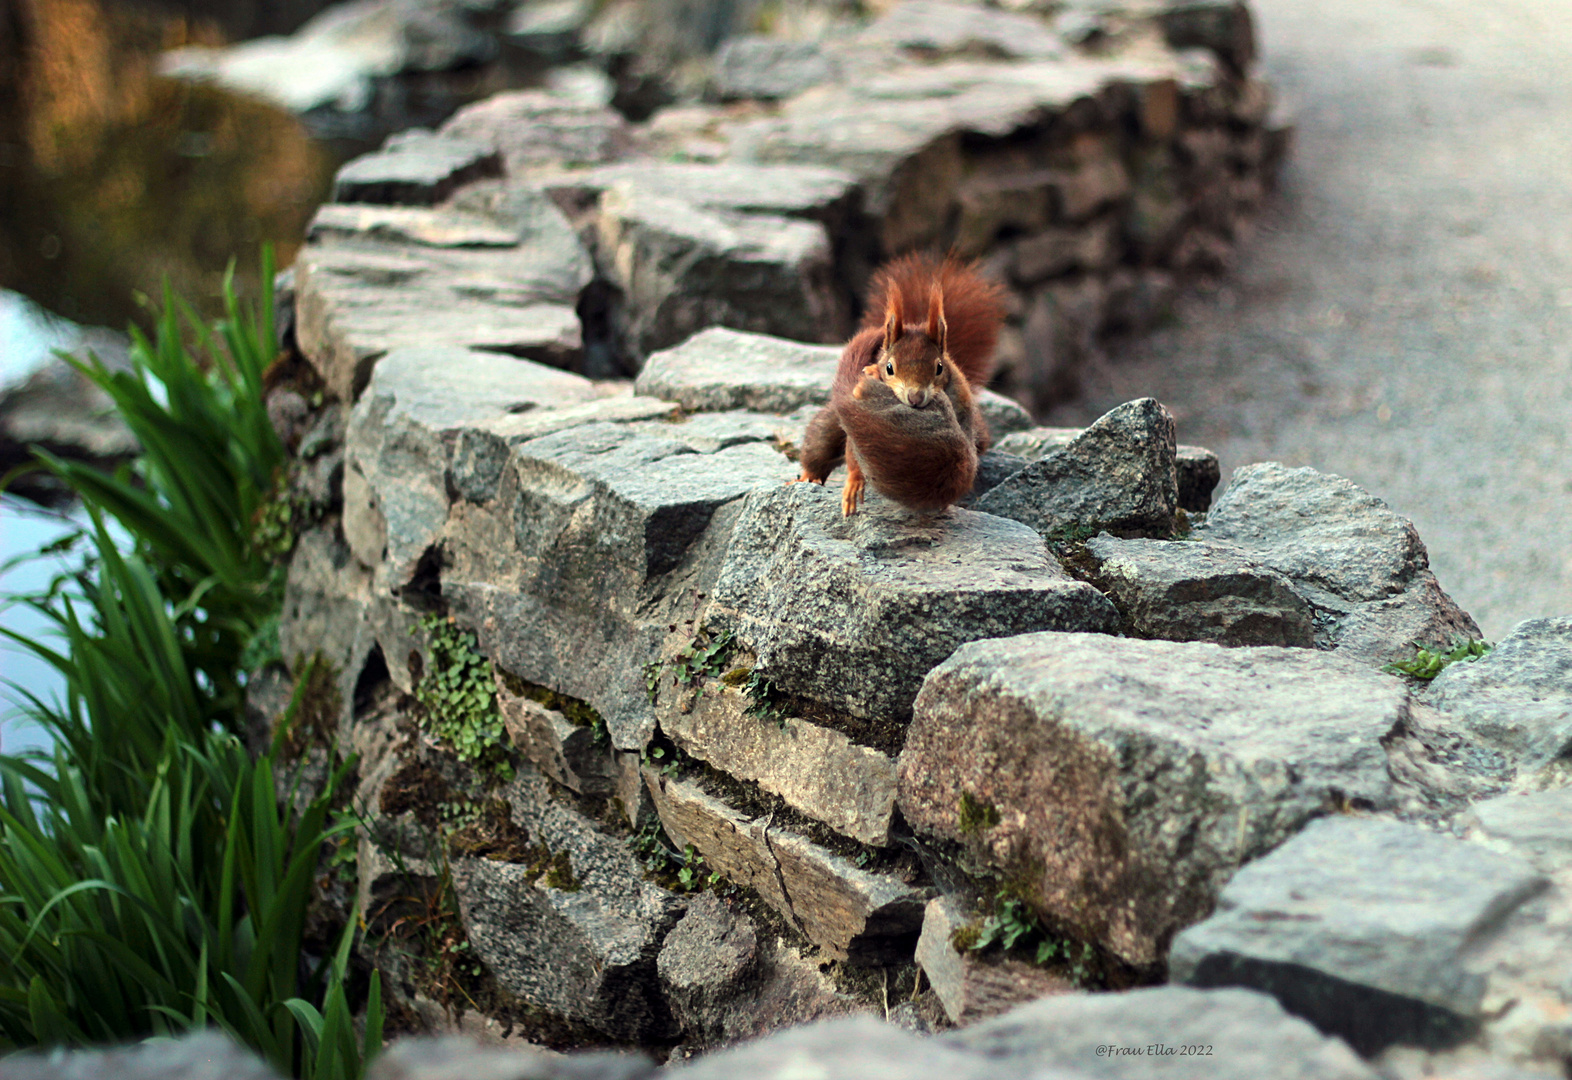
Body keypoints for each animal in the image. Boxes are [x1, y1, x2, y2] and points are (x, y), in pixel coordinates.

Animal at [798, 257, 1006, 518]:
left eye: (939, 368)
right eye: (889, 368)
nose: (915, 397)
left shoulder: (959, 398)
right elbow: (852, 454)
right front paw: (854, 482)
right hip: (829, 425)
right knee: (820, 443)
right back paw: (808, 476)